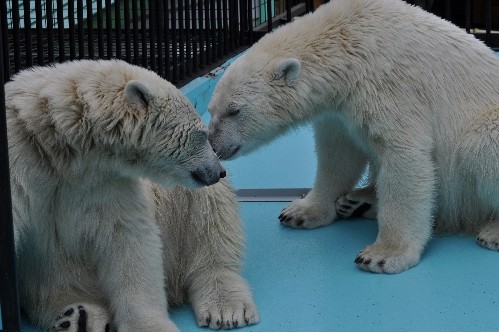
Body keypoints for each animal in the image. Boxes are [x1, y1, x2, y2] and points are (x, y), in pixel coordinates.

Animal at [5, 58, 260, 330]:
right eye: (201, 134)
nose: (219, 170)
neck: (60, 147)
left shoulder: (103, 182)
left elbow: (126, 238)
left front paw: (147, 324)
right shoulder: (22, 160)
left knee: (211, 220)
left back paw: (226, 306)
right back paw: (76, 316)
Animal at [207, 0, 499, 274]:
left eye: (234, 110)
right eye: (211, 110)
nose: (214, 145)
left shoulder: (389, 84)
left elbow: (404, 154)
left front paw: (383, 255)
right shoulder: (339, 109)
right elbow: (338, 155)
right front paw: (301, 211)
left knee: (479, 143)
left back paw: (492, 232)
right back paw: (358, 201)